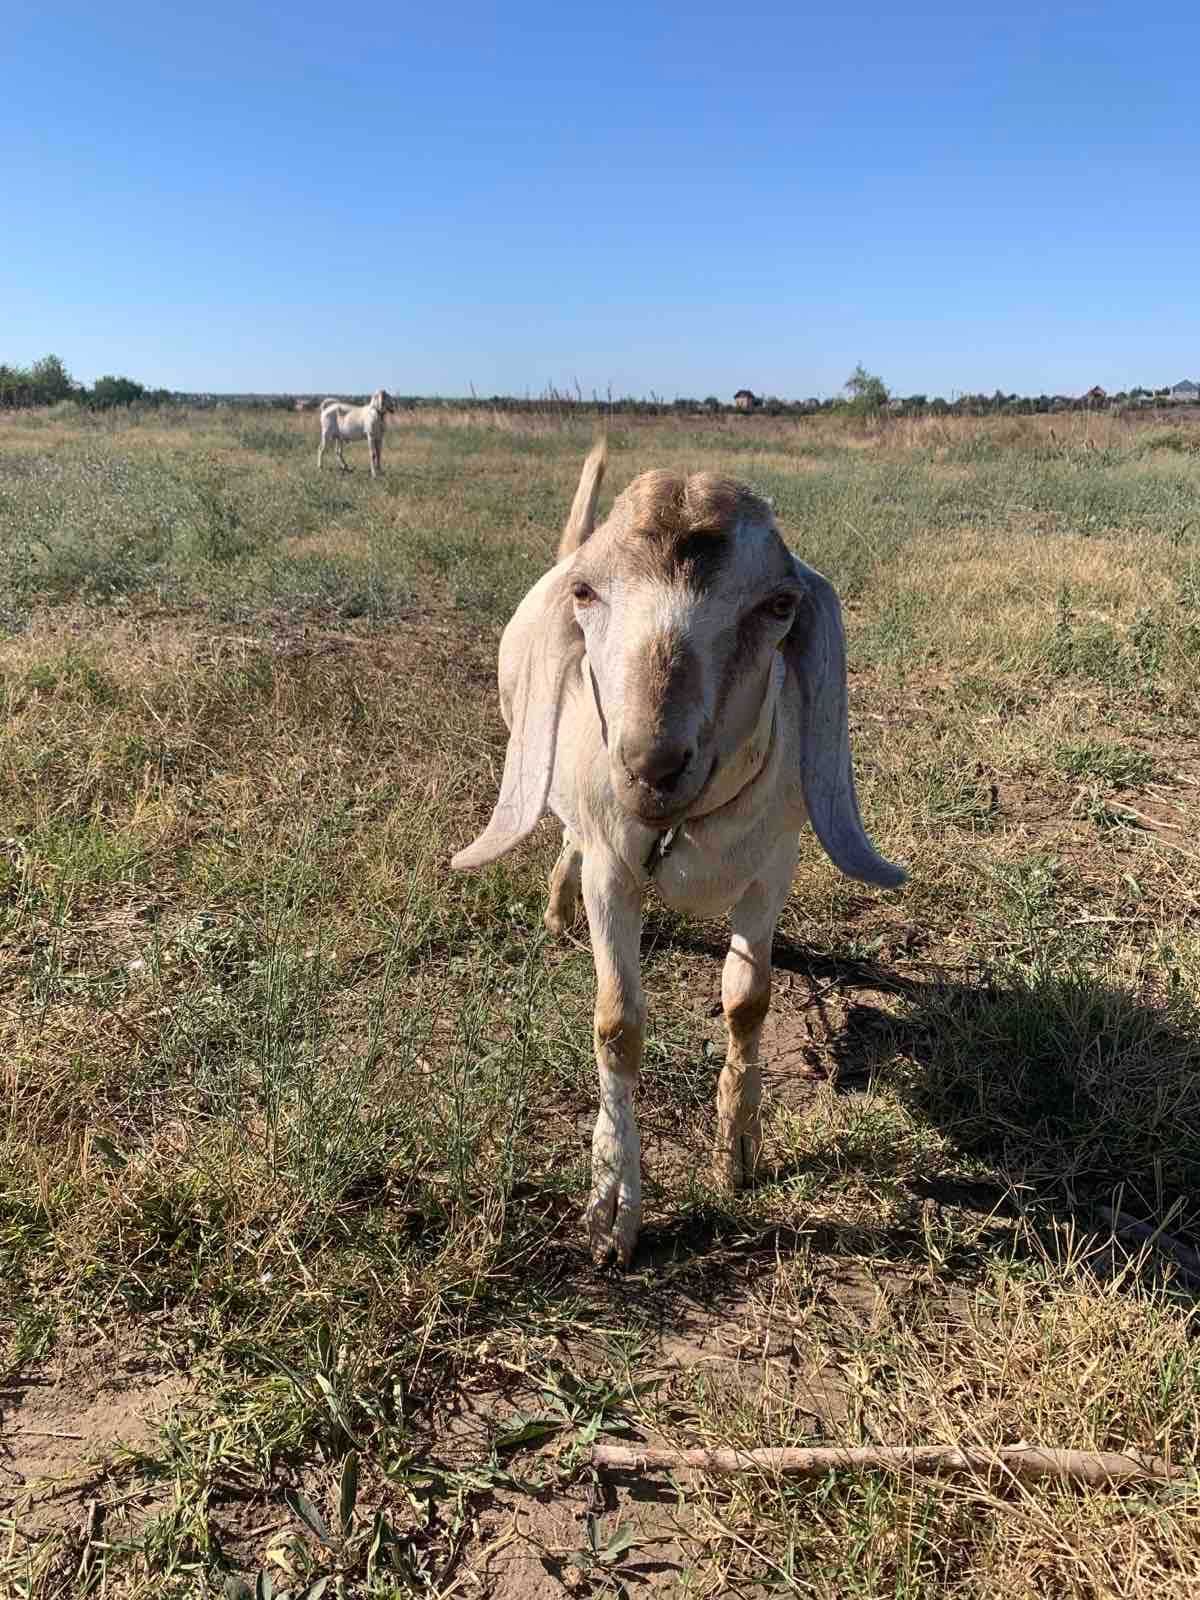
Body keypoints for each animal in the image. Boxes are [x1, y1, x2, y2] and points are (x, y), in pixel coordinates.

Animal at [454, 441, 908, 1260]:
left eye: (778, 606)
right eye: (586, 593)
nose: (651, 765)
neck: (688, 821)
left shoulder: (772, 870)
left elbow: (748, 1001)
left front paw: (738, 1154)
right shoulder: (615, 873)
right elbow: (618, 1024)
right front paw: (613, 1208)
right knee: (568, 836)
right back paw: (557, 911)